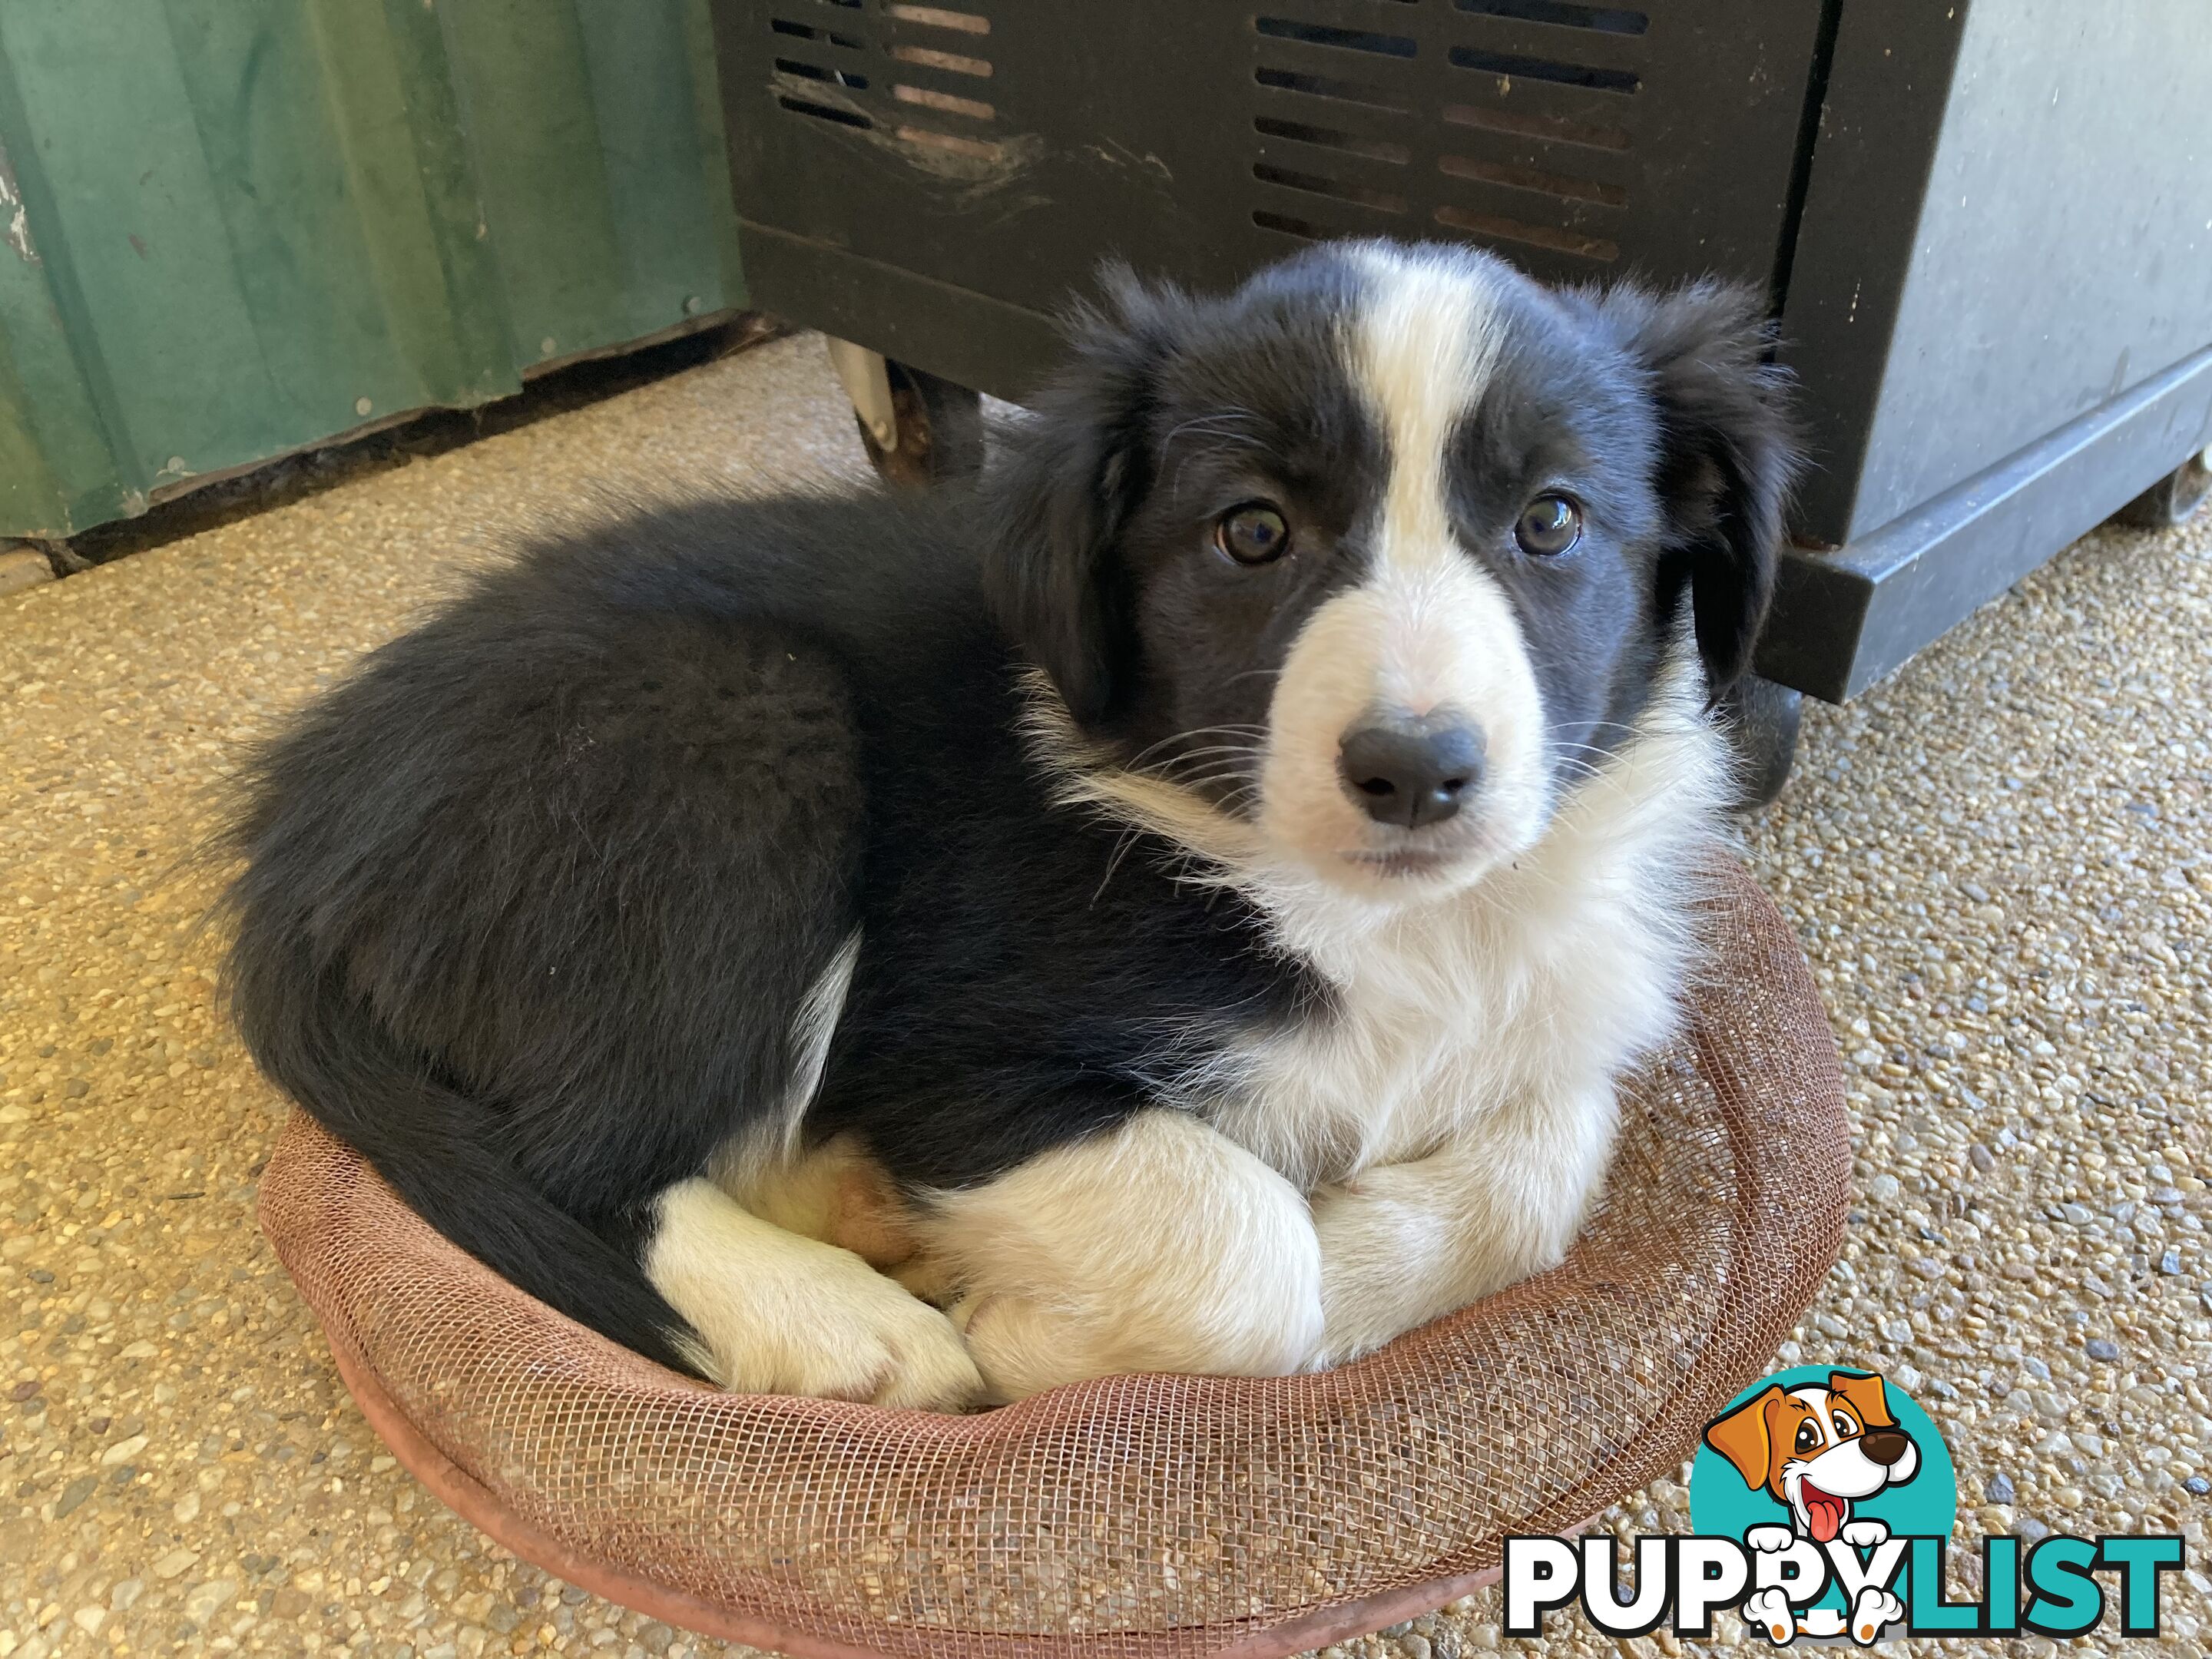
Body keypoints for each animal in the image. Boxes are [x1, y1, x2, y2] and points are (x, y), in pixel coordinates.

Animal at [229, 240, 1796, 1406]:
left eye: (1551, 520)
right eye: (1252, 532)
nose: (1416, 772)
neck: (1375, 920)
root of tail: (294, 831)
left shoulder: (1577, 989)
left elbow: (1555, 1150)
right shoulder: (946, 1054)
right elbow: (1249, 1251)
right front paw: (1031, 1335)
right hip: (740, 728)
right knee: (586, 1168)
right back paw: (850, 1322)